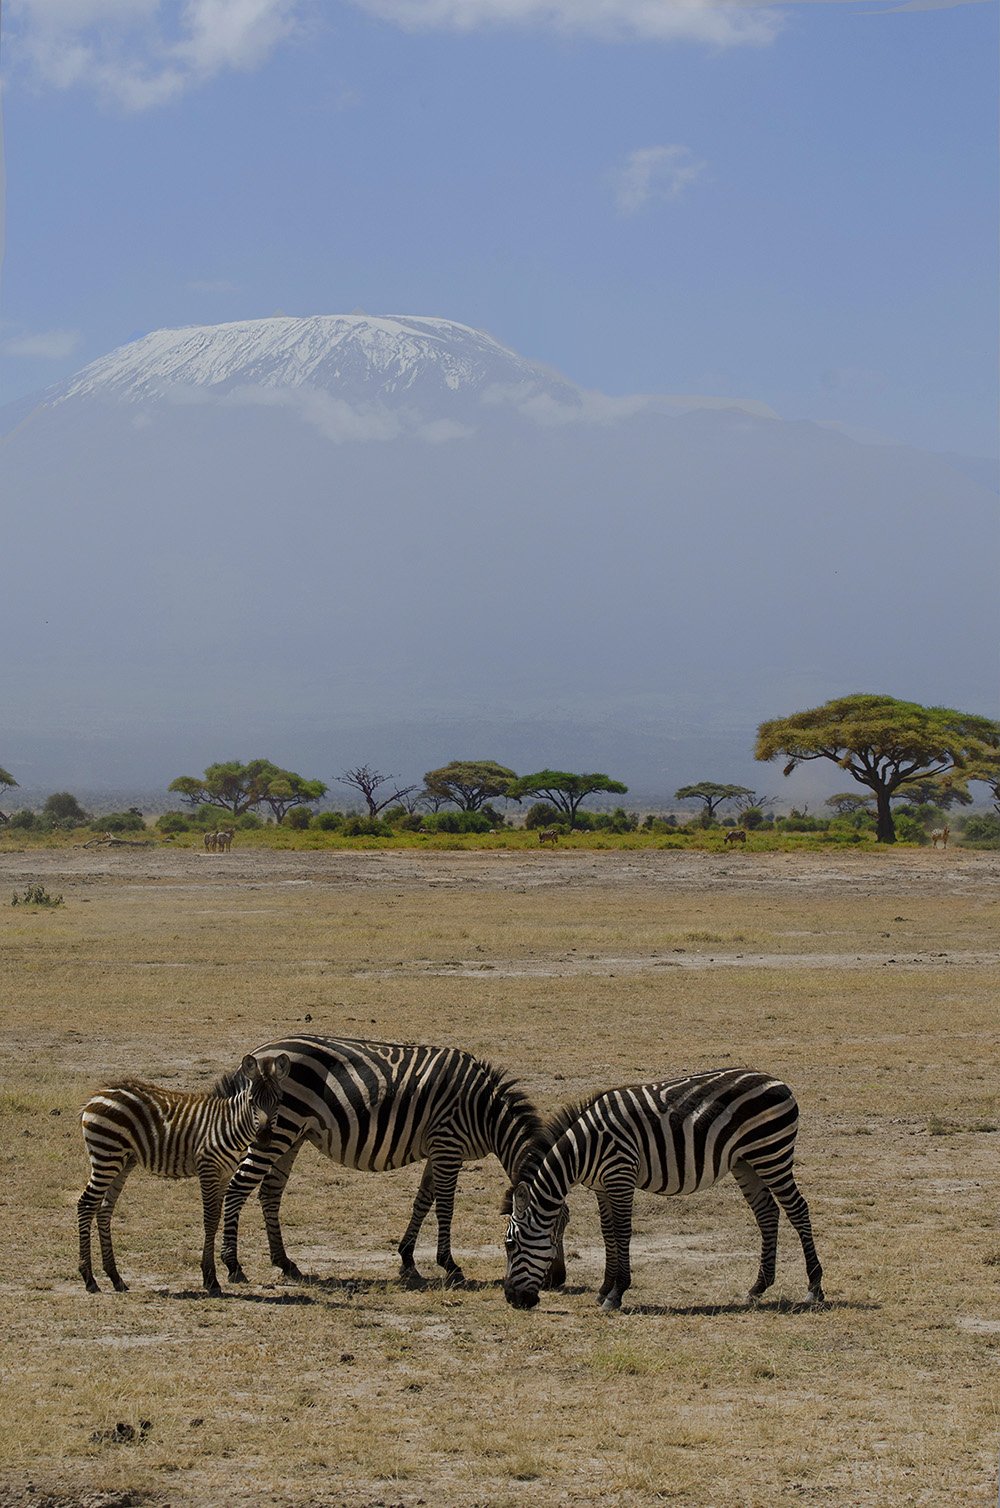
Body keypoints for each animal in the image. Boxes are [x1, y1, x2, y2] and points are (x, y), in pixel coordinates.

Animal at [78, 1049, 289, 1296]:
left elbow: (217, 1216)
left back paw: (115, 1277)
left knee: (103, 1209)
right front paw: (211, 1279)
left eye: (279, 1101)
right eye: (251, 1101)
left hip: (122, 1161)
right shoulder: (208, 1168)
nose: (264, 1140)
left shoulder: (225, 1174)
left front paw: (211, 1276)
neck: (229, 1124)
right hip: (106, 1156)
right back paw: (89, 1279)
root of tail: (97, 1095)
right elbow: (210, 1218)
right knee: (86, 1204)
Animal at [218, 1031, 564, 1290]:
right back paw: (233, 1265)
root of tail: (257, 1054)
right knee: (237, 1188)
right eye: (552, 1229)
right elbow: (445, 1207)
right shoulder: (448, 1145)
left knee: (269, 1193)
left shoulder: (438, 1150)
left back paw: (285, 1263)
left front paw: (407, 1258)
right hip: (276, 1132)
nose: (558, 1281)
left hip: (291, 1136)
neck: (486, 1113)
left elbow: (423, 1200)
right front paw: (449, 1265)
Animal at [503, 1067, 826, 1314]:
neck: (582, 1149)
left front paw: (616, 1293)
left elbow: (622, 1232)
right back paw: (758, 1287)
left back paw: (814, 1287)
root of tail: (779, 1082)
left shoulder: (620, 1175)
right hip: (746, 1162)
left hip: (772, 1154)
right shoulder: (602, 1187)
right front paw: (604, 1288)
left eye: (511, 1245)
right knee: (767, 1214)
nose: (512, 1300)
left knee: (797, 1209)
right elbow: (607, 1234)